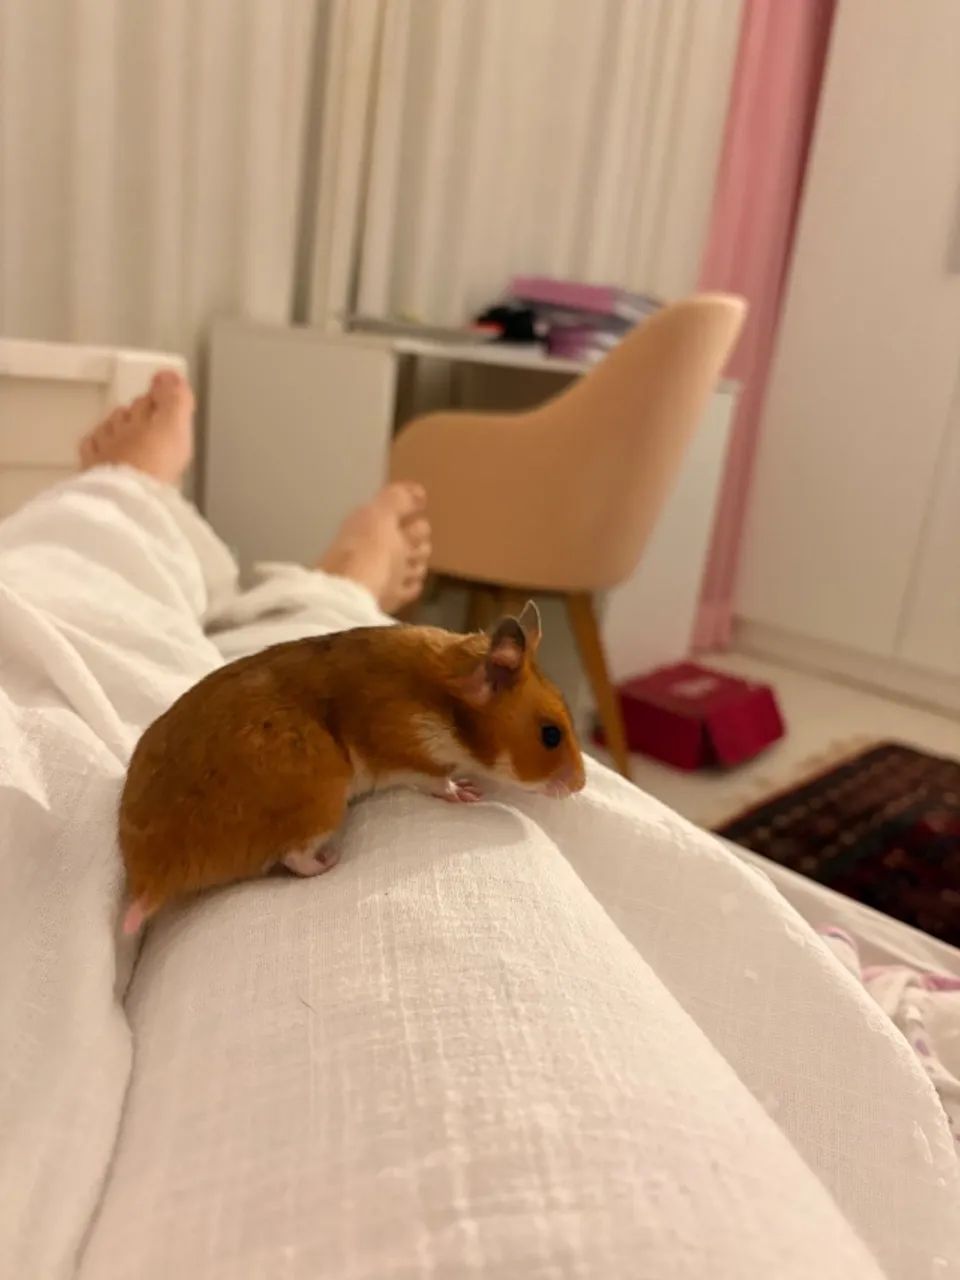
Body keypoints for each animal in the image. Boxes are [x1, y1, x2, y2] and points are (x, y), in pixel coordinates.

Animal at [118, 601, 585, 933]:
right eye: (551, 735)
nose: (580, 786)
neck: (448, 705)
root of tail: (149, 878)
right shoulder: (412, 752)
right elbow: (440, 781)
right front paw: (469, 792)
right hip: (324, 796)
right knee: (294, 855)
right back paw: (332, 861)